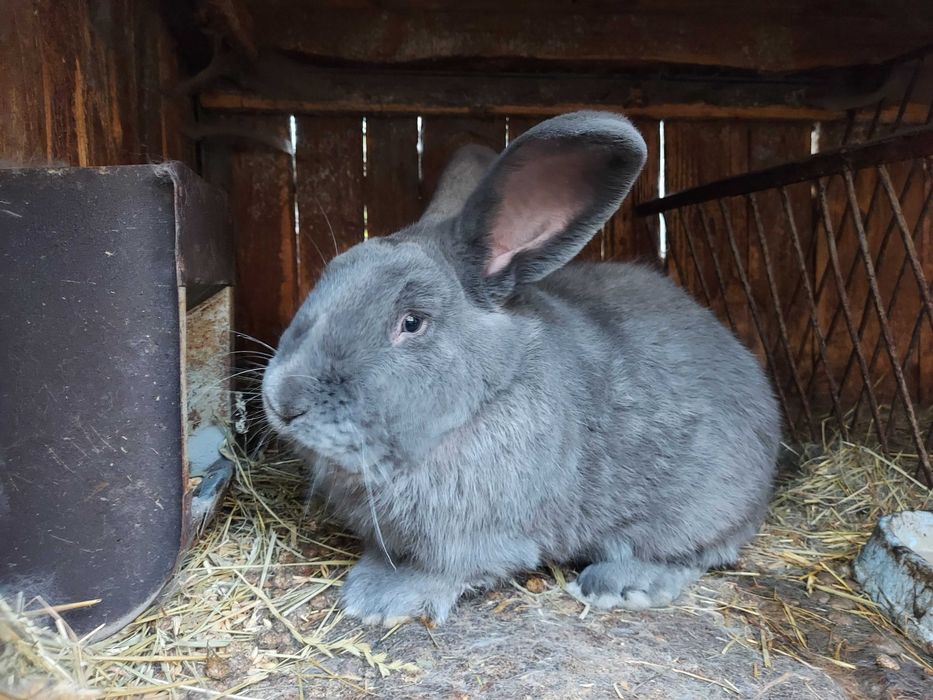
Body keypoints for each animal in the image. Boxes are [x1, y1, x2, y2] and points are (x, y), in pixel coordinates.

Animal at [261, 112, 780, 626]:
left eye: (411, 322)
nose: (283, 401)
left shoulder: (472, 537)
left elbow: (441, 569)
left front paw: (377, 601)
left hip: (697, 509)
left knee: (698, 553)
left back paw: (620, 584)